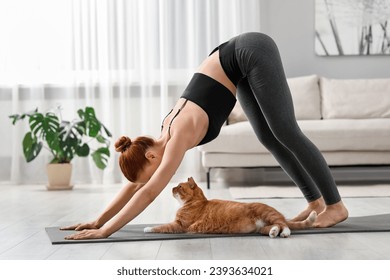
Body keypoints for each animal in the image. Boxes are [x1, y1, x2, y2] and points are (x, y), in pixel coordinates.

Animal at [144, 178, 316, 237]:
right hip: (262, 227)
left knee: (284, 226)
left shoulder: (180, 225)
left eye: (179, 187)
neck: (195, 202)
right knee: (275, 227)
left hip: (267, 214)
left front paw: (147, 228)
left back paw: (284, 233)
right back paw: (273, 232)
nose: (171, 188)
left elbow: (161, 226)